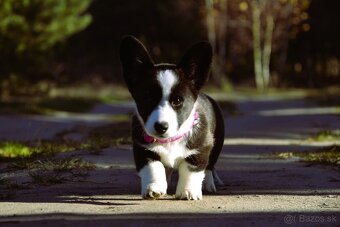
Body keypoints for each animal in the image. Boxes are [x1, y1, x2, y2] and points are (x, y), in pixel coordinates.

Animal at [120, 36, 226, 200]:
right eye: (148, 99)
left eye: (177, 101)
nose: (161, 126)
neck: (169, 141)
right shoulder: (142, 149)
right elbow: (153, 167)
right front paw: (154, 188)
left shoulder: (201, 148)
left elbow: (191, 170)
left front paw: (188, 191)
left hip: (217, 143)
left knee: (210, 166)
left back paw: (208, 184)